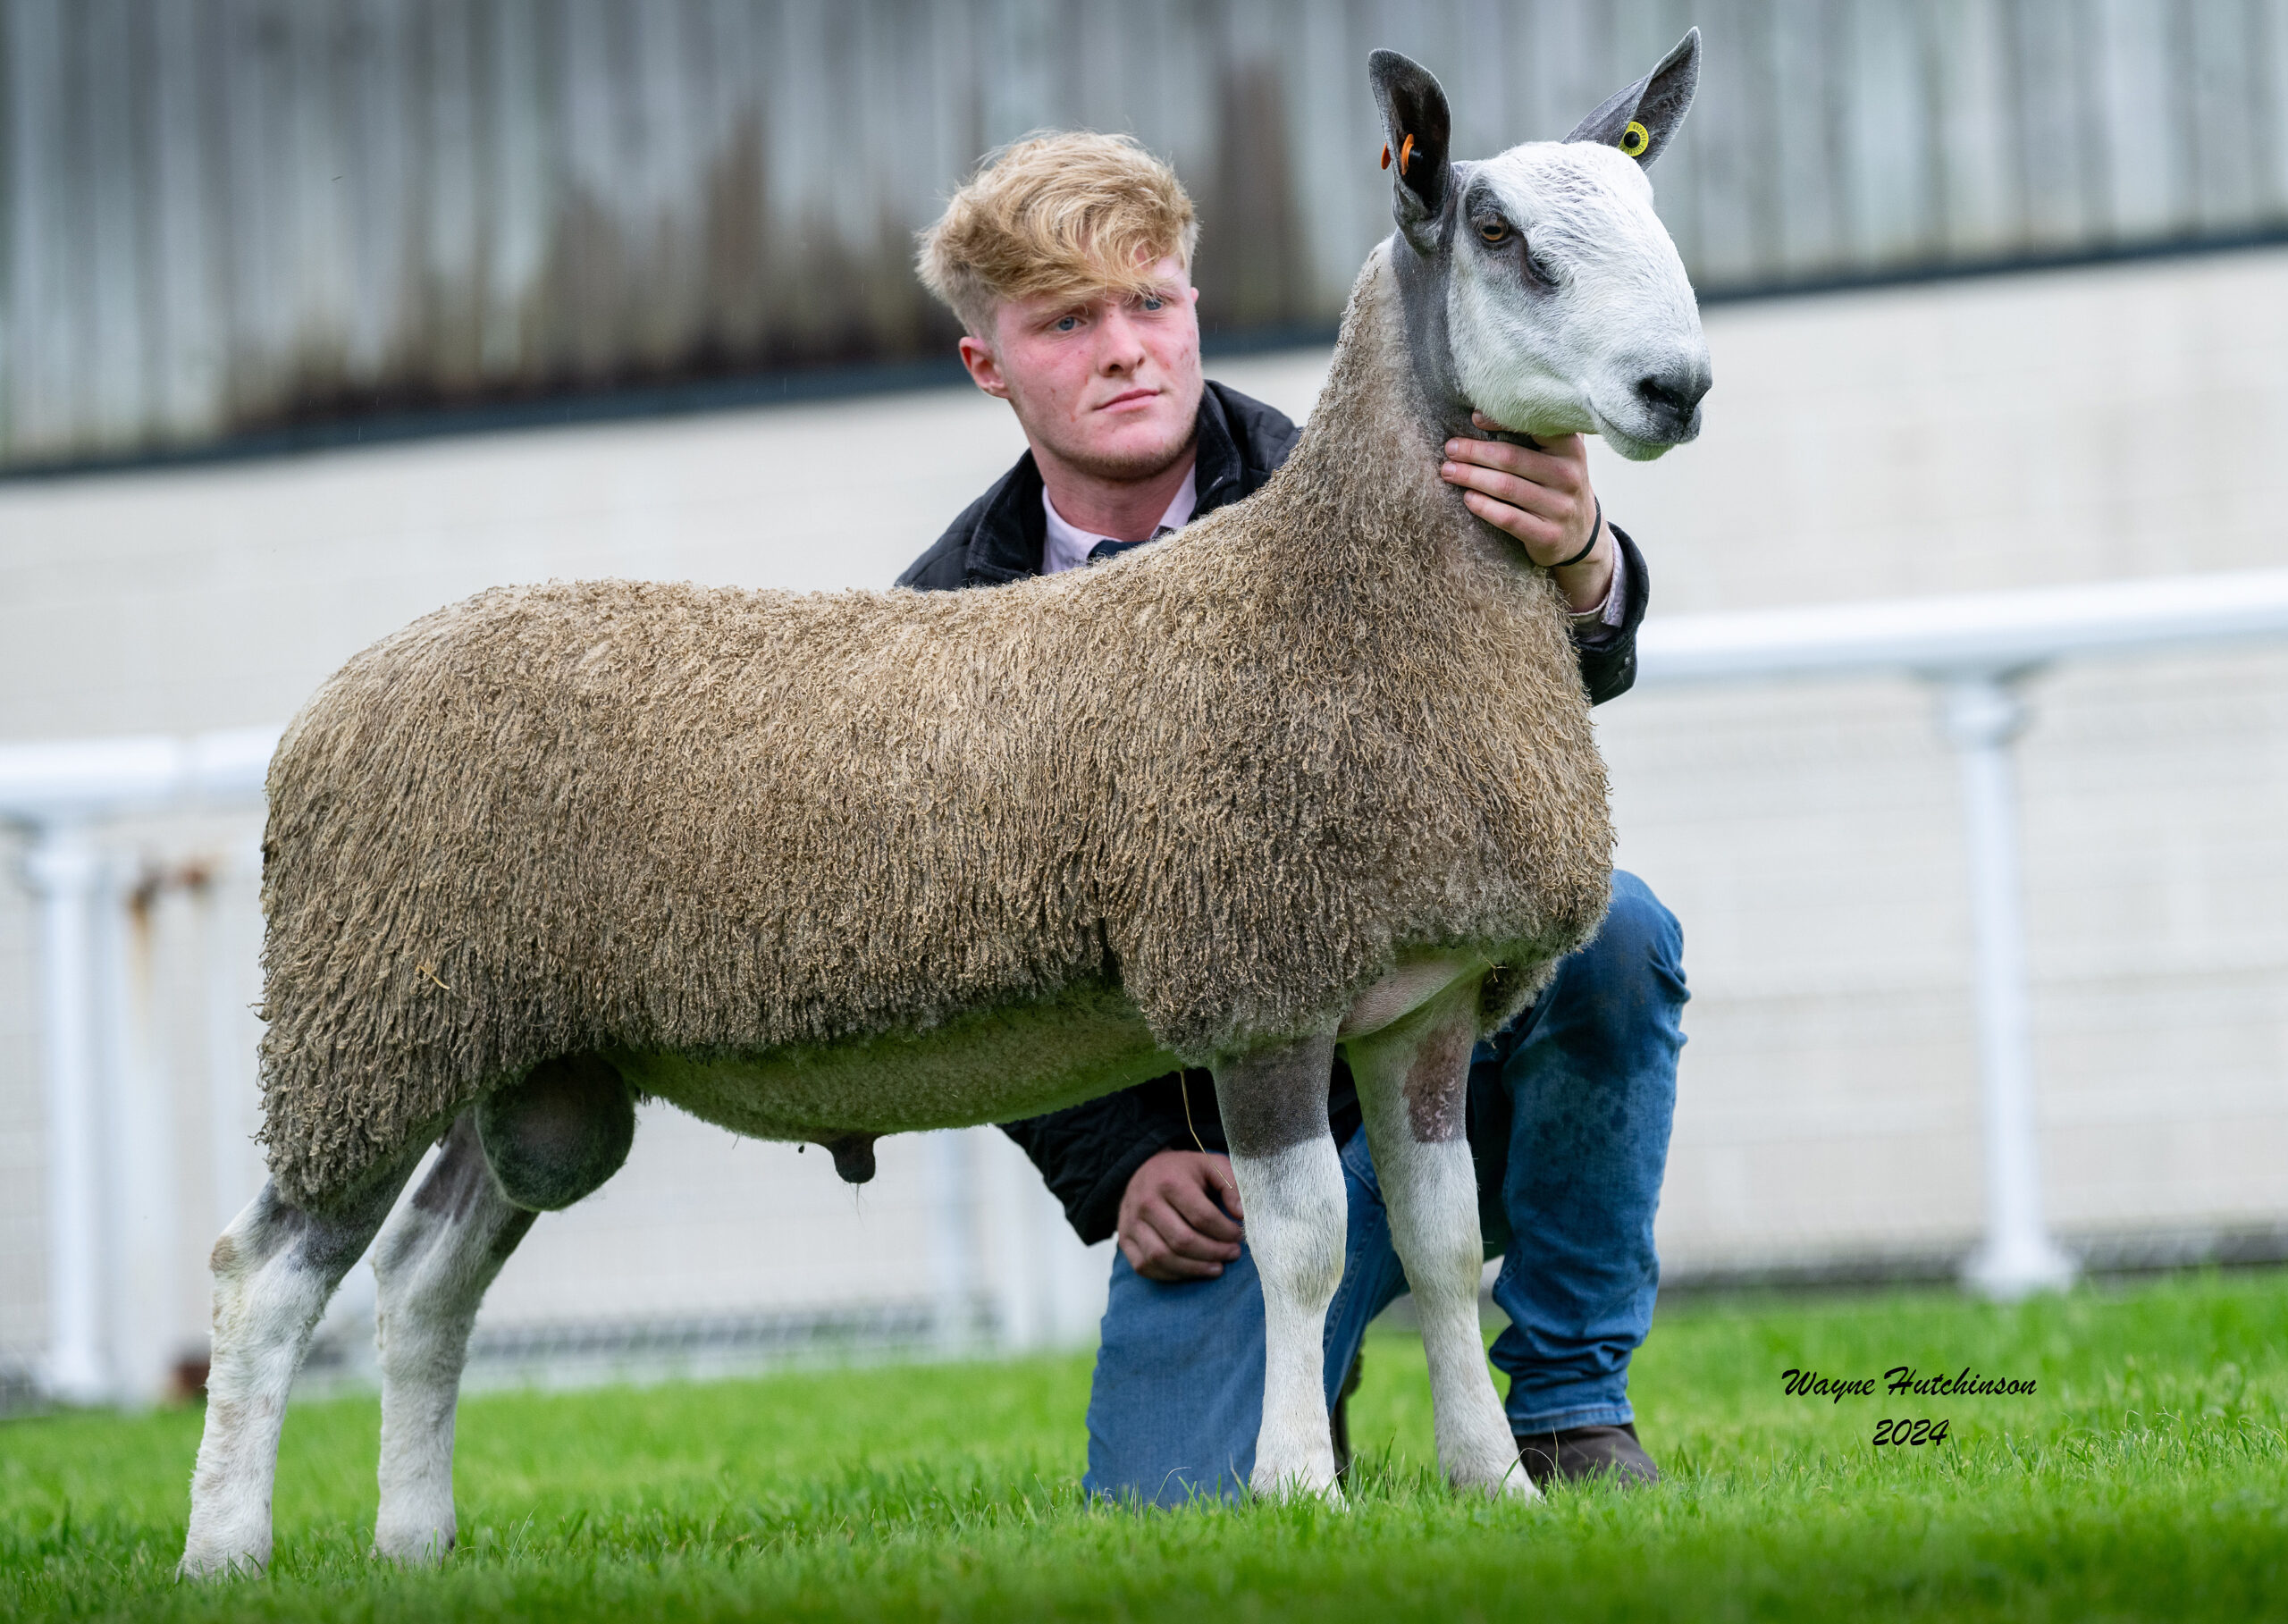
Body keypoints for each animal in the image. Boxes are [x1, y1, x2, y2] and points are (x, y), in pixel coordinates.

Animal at [187, 38, 1711, 1582]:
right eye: (1501, 236)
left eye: (1647, 203)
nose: (1678, 388)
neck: (1334, 591)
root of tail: (333, 701)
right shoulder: (1257, 976)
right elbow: (1308, 1245)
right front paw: (1295, 1489)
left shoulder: (1428, 1000)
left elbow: (1446, 1245)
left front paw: (1496, 1488)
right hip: (368, 1014)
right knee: (266, 1272)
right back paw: (226, 1552)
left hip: (522, 1051)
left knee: (422, 1278)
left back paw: (415, 1542)